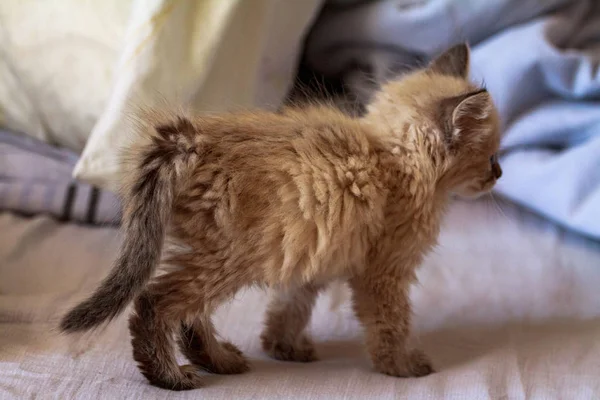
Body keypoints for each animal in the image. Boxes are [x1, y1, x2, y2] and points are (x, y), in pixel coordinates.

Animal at [61, 44, 502, 390]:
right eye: (491, 155)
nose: (499, 173)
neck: (392, 160)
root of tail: (195, 139)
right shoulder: (382, 275)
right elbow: (390, 324)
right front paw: (404, 366)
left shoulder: (314, 254)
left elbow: (290, 308)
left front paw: (282, 347)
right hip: (229, 259)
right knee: (156, 303)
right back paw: (170, 376)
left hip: (214, 253)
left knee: (190, 315)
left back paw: (219, 360)